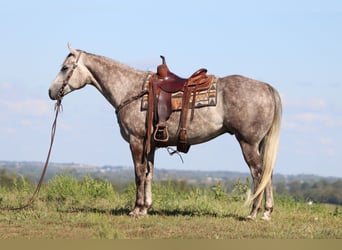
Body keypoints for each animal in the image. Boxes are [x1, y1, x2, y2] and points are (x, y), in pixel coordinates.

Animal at [48, 44, 284, 220]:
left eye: (65, 67)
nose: (51, 92)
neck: (131, 89)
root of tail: (266, 87)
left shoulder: (136, 141)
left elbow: (138, 173)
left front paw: (136, 209)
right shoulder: (150, 144)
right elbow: (149, 173)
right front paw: (146, 208)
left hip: (248, 143)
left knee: (258, 173)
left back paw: (253, 213)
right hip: (259, 143)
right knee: (268, 172)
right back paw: (266, 212)